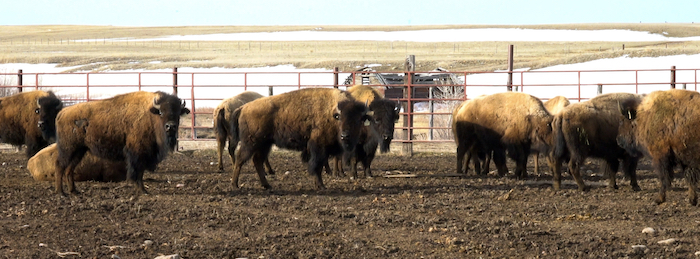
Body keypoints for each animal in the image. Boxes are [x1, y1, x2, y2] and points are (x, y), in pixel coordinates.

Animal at [54, 91, 190, 195]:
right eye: (161, 112)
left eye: (178, 113)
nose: (170, 126)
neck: (150, 115)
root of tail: (61, 113)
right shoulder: (137, 153)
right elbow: (137, 172)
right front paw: (143, 191)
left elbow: (140, 172)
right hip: (68, 149)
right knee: (60, 166)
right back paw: (61, 193)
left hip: (79, 150)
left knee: (69, 169)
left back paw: (74, 191)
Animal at [231, 88, 372, 190]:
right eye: (340, 118)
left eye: (358, 120)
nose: (345, 136)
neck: (332, 113)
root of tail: (243, 108)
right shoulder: (318, 148)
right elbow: (317, 166)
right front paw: (321, 186)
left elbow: (319, 166)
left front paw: (318, 184)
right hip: (251, 143)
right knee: (240, 160)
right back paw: (235, 185)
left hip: (264, 144)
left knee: (257, 161)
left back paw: (267, 185)